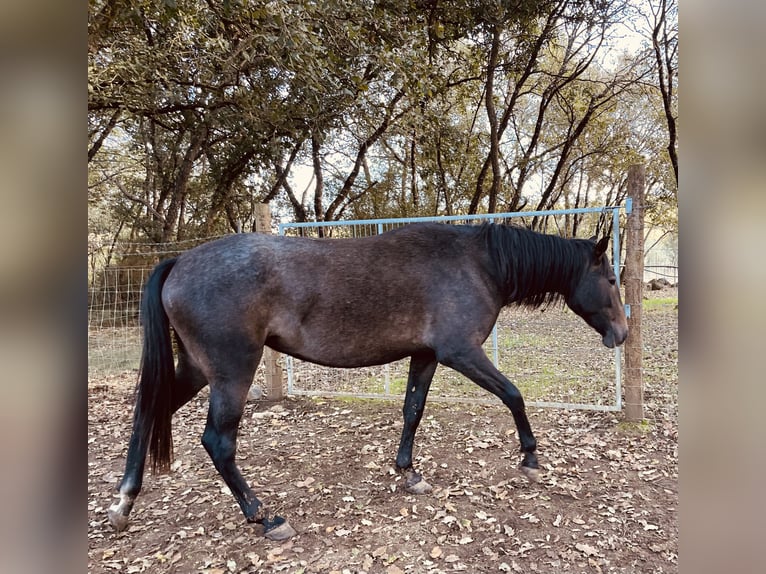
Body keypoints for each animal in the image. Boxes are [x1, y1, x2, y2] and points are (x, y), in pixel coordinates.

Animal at [105, 220, 628, 540]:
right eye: (611, 280)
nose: (621, 334)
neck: (478, 264)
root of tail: (179, 262)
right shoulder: (461, 352)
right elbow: (514, 395)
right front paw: (530, 458)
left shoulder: (426, 355)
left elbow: (413, 410)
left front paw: (409, 472)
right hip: (231, 372)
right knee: (217, 442)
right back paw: (264, 516)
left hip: (196, 369)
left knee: (148, 411)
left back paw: (124, 502)